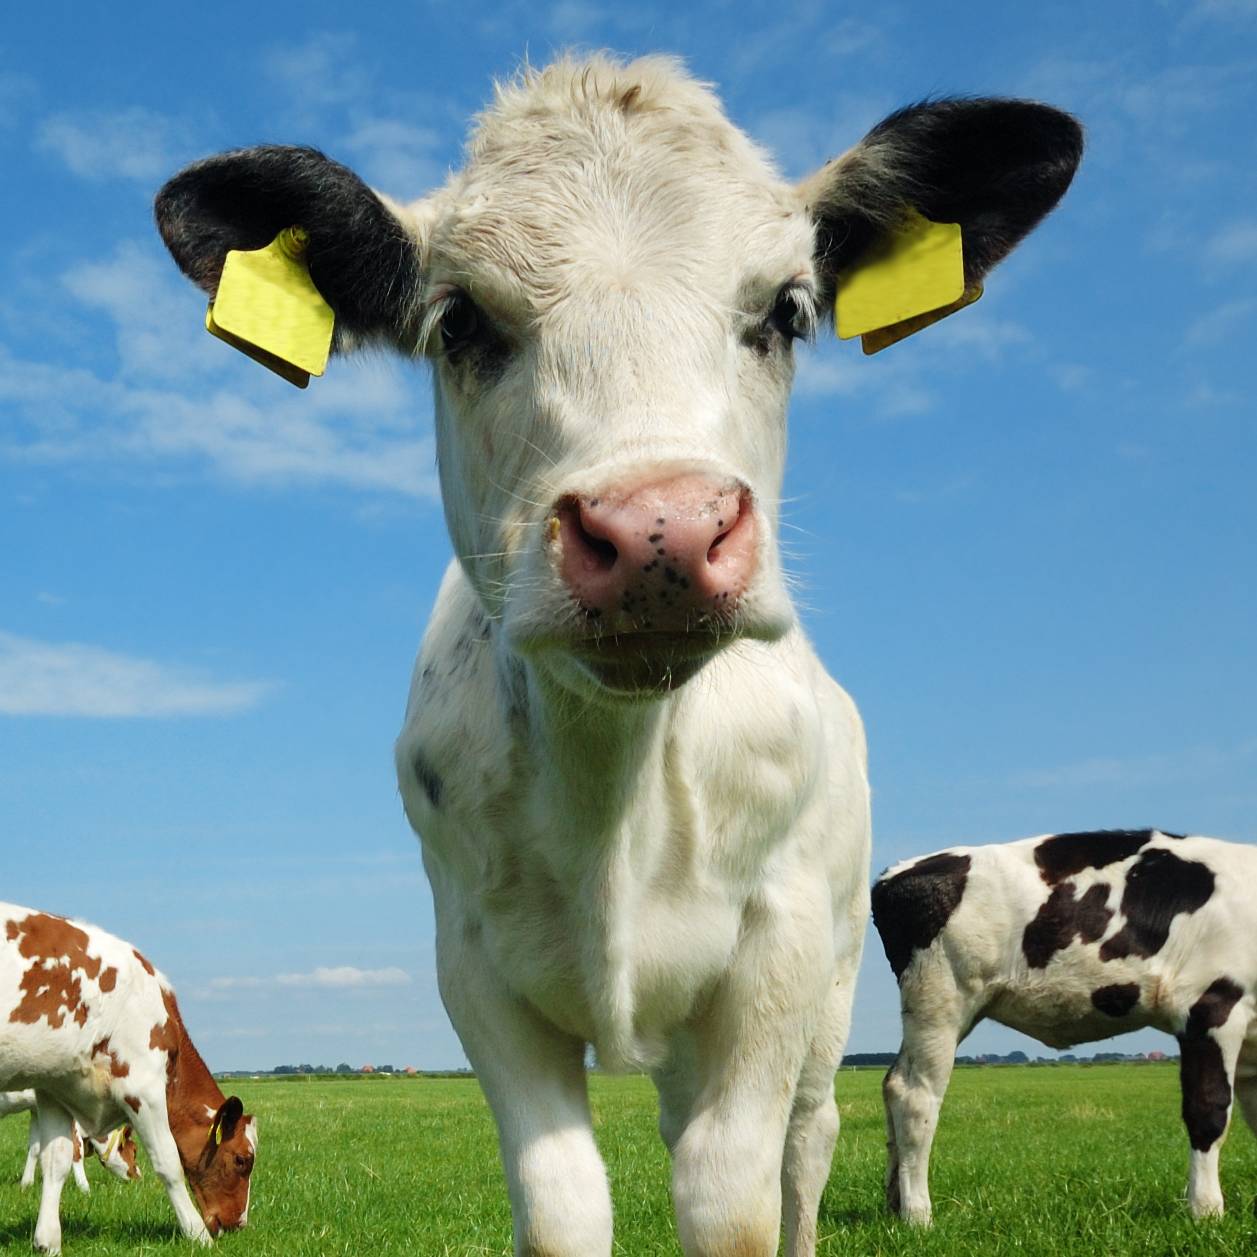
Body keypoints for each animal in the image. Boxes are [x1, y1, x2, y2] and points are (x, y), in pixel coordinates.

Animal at [2, 1090, 140, 1191]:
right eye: (134, 1151)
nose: (139, 1176)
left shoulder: (36, 1110)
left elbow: (34, 1148)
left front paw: (26, 1184)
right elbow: (77, 1152)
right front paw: (85, 1189)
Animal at [154, 53, 1081, 1256]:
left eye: (787, 311)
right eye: (458, 321)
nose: (662, 531)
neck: (613, 785)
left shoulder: (775, 955)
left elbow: (730, 1200)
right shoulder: (474, 968)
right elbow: (564, 1203)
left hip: (839, 977)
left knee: (810, 1140)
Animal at [872, 828, 1257, 1223]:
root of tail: (901, 871)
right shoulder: (1210, 1007)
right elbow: (1209, 1109)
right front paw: (1206, 1210)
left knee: (892, 1084)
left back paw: (895, 1203)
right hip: (940, 999)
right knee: (915, 1096)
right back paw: (918, 1215)